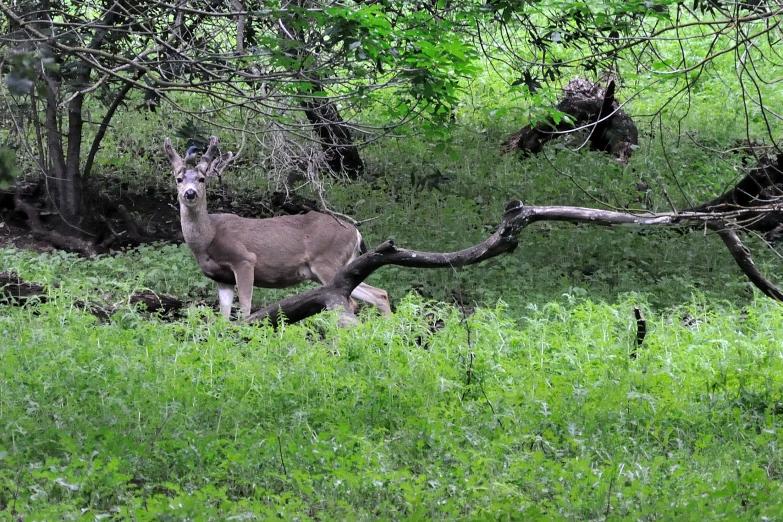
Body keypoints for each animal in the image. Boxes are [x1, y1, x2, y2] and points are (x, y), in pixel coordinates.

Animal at [163, 136, 392, 318]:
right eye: (178, 179)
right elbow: (223, 317)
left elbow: (245, 310)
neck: (209, 237)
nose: (190, 193)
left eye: (202, 179)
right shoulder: (221, 278)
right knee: (379, 293)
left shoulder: (244, 259)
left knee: (349, 302)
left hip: (327, 261)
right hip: (337, 266)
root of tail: (356, 232)